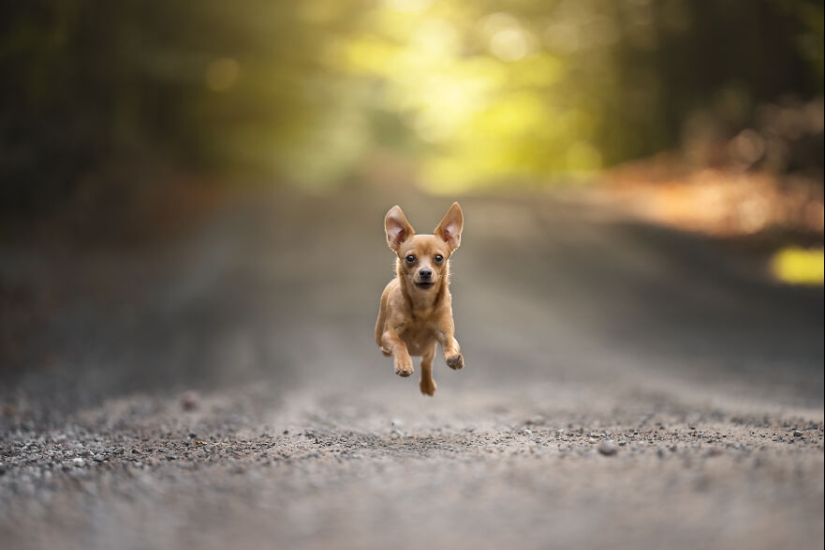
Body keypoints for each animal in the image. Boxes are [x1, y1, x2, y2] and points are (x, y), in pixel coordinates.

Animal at [374, 204, 464, 396]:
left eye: (439, 258)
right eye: (410, 258)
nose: (425, 272)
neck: (423, 303)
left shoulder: (446, 335)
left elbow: (450, 345)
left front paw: (453, 358)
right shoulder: (388, 334)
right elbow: (399, 342)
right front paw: (403, 363)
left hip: (430, 349)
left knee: (426, 362)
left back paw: (427, 384)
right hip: (380, 338)